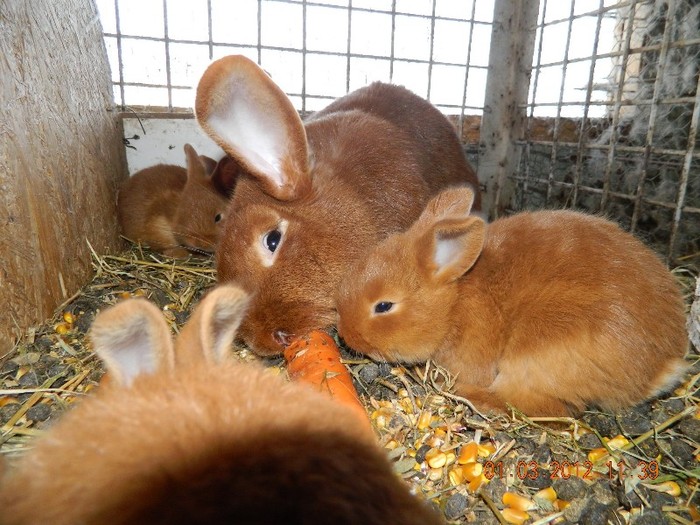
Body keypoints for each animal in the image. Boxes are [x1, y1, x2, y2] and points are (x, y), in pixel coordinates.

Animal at [336, 186, 692, 416]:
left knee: (549, 410)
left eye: (384, 306)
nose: (346, 335)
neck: (455, 299)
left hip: (535, 356)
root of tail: (659, 366)